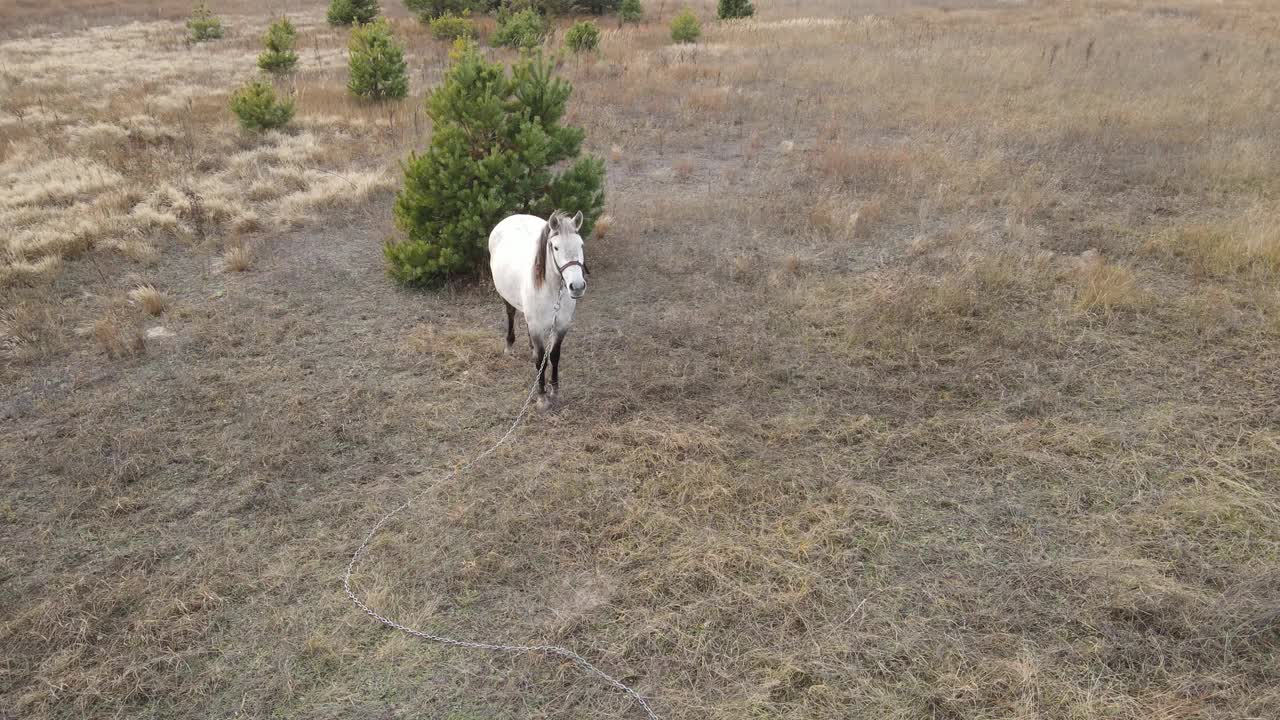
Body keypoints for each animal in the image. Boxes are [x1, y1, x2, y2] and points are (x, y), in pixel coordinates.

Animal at [488, 210, 588, 407]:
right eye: (555, 248)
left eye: (580, 244)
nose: (577, 286)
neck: (551, 290)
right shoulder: (536, 326)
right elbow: (541, 359)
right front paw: (542, 397)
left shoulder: (562, 325)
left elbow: (554, 356)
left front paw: (555, 391)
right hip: (506, 297)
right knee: (511, 314)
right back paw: (509, 346)